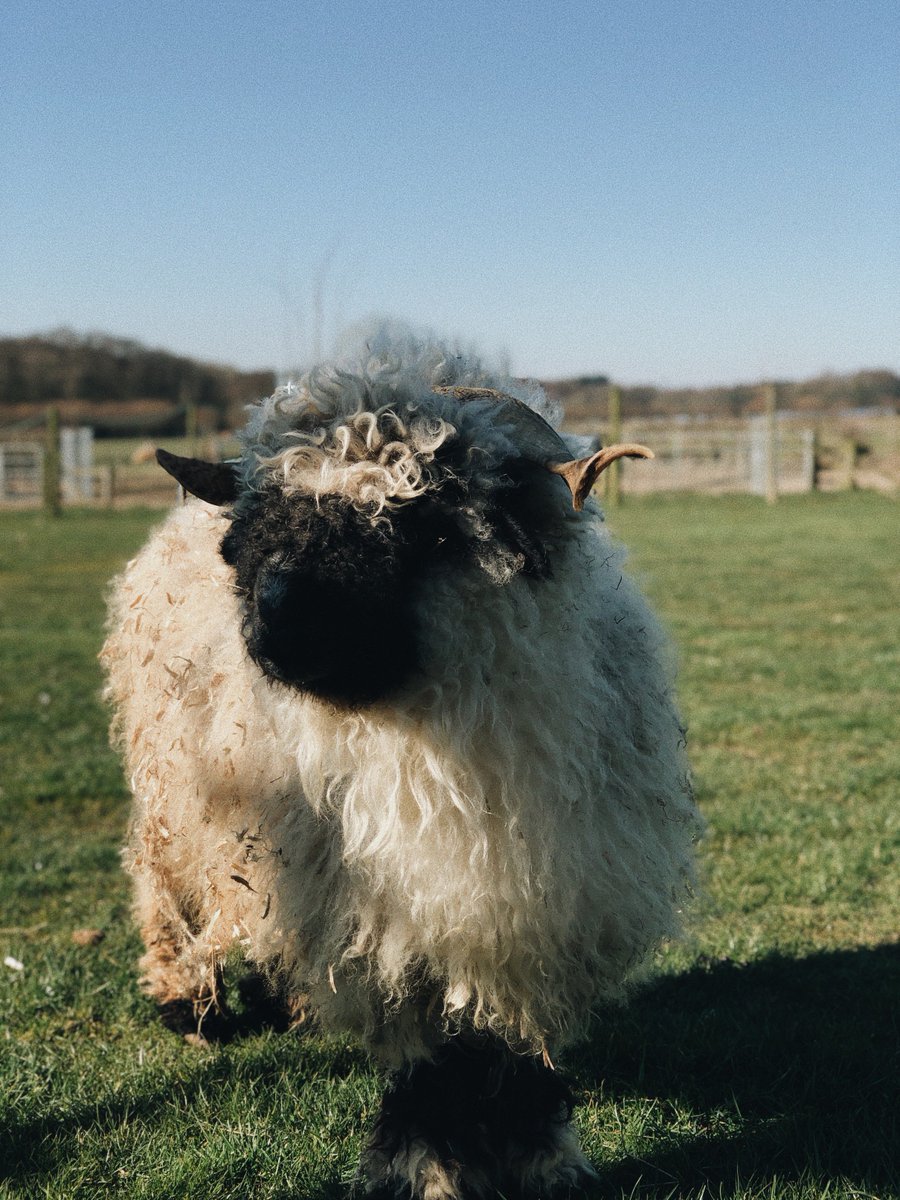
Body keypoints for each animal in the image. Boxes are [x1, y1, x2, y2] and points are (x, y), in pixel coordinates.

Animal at [101, 327, 700, 1198]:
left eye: (429, 530)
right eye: (242, 545)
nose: (278, 632)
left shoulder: (535, 911)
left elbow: (499, 1045)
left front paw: (535, 1150)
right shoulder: (393, 927)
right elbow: (431, 1059)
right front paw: (429, 1164)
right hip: (174, 787)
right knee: (160, 875)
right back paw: (189, 1004)